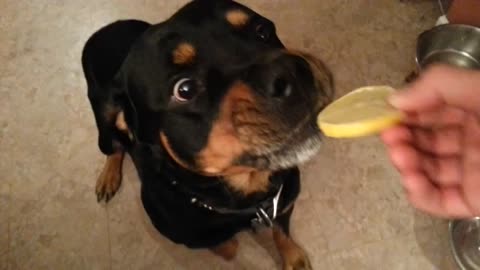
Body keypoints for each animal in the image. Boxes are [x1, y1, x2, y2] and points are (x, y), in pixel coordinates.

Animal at [81, 0, 334, 268]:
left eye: (262, 31)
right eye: (185, 89)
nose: (294, 71)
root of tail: (105, 29)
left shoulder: (284, 202)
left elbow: (281, 232)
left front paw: (292, 257)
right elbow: (226, 246)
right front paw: (228, 247)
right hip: (102, 117)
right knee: (113, 147)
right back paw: (108, 176)